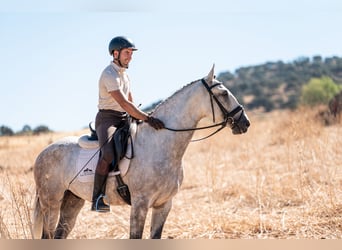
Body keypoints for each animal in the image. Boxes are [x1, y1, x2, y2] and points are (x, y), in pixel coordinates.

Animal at [32, 65, 248, 239]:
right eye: (223, 94)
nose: (245, 123)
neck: (160, 144)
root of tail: (43, 152)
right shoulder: (140, 204)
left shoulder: (164, 204)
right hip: (51, 202)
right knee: (48, 235)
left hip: (72, 201)